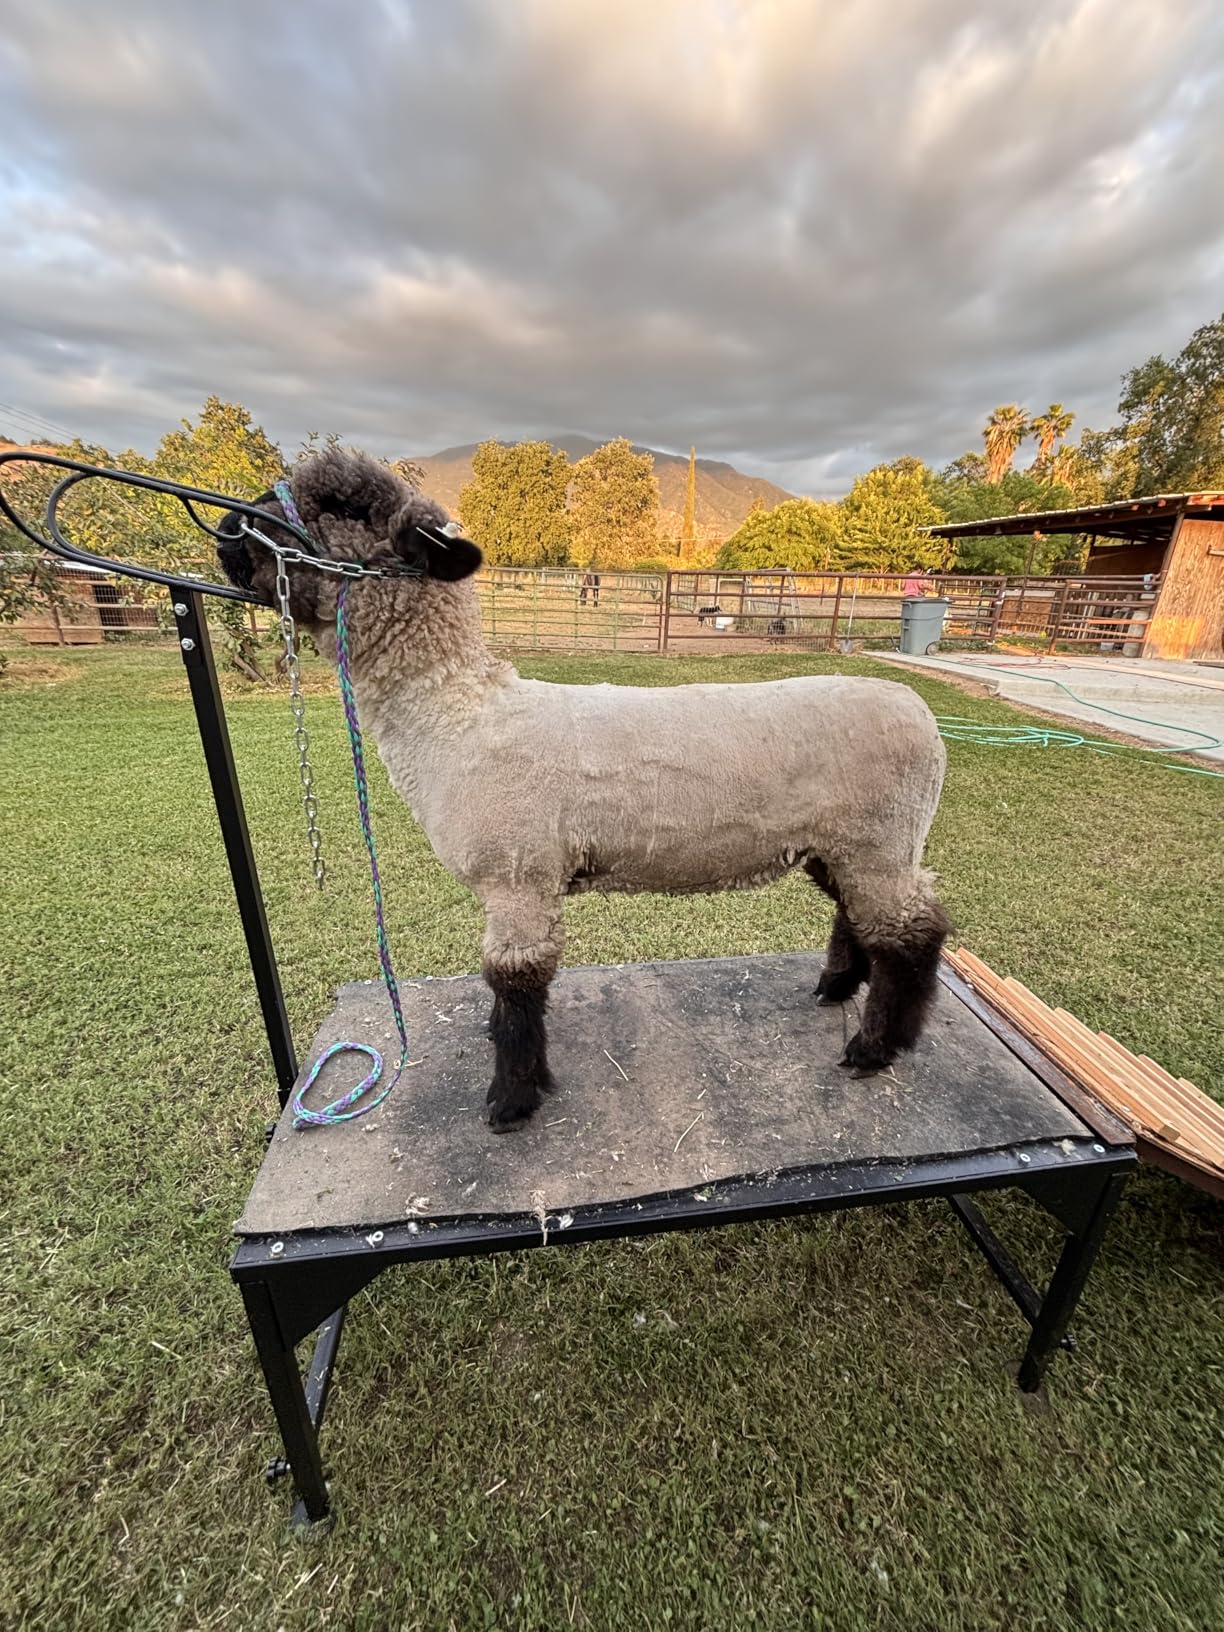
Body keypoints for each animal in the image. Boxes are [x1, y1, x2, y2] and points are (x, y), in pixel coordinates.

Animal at [218, 450, 950, 1132]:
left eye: (342, 507)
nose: (225, 531)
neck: (461, 718)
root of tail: (920, 712)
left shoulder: (518, 874)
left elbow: (515, 982)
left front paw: (512, 1100)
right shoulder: (520, 879)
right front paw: (503, 1053)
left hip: (881, 837)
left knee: (914, 932)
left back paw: (875, 1048)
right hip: (841, 843)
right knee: (858, 915)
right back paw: (835, 988)